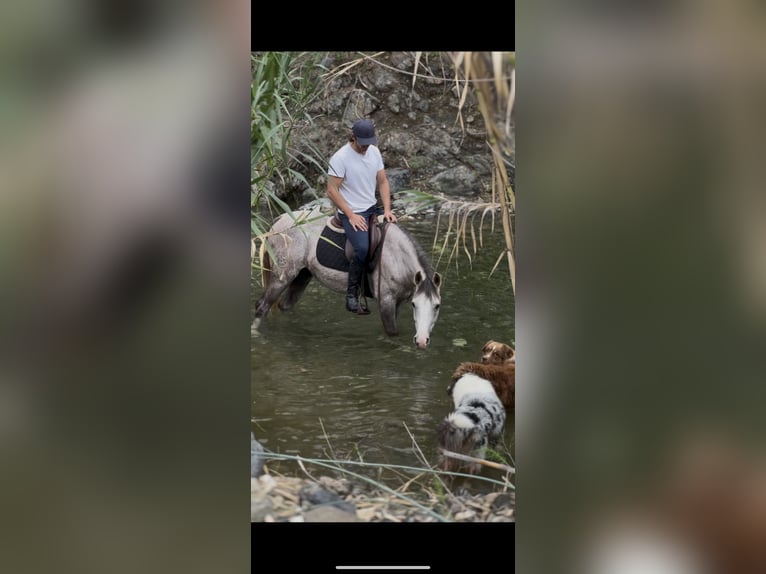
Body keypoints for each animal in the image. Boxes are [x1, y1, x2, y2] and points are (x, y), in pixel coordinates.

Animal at [254, 209, 444, 348]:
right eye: (414, 304)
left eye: (437, 306)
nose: (422, 341)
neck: (397, 256)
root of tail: (279, 222)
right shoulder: (386, 301)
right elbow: (391, 332)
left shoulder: (395, 303)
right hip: (282, 277)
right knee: (262, 306)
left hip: (302, 276)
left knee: (283, 306)